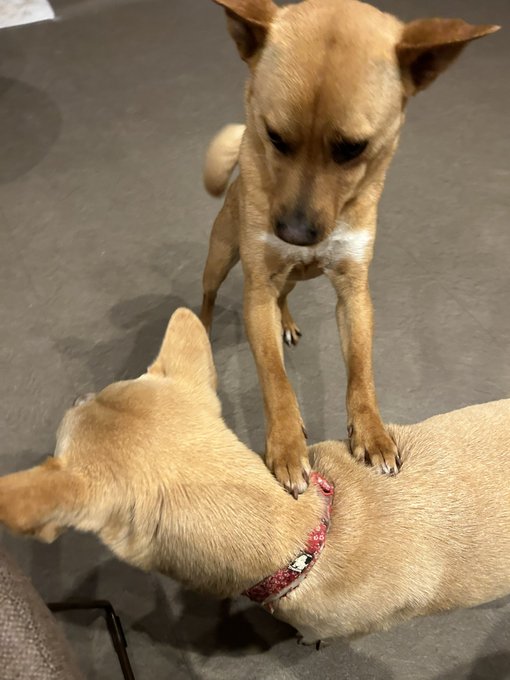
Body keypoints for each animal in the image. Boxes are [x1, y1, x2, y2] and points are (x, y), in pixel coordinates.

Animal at [199, 0, 499, 496]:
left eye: (353, 149)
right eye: (274, 136)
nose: (294, 233)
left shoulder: (353, 292)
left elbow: (361, 367)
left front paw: (371, 432)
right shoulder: (257, 290)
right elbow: (275, 379)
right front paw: (286, 445)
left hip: (294, 276)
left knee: (286, 297)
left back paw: (287, 320)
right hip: (221, 256)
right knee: (207, 296)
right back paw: (202, 327)